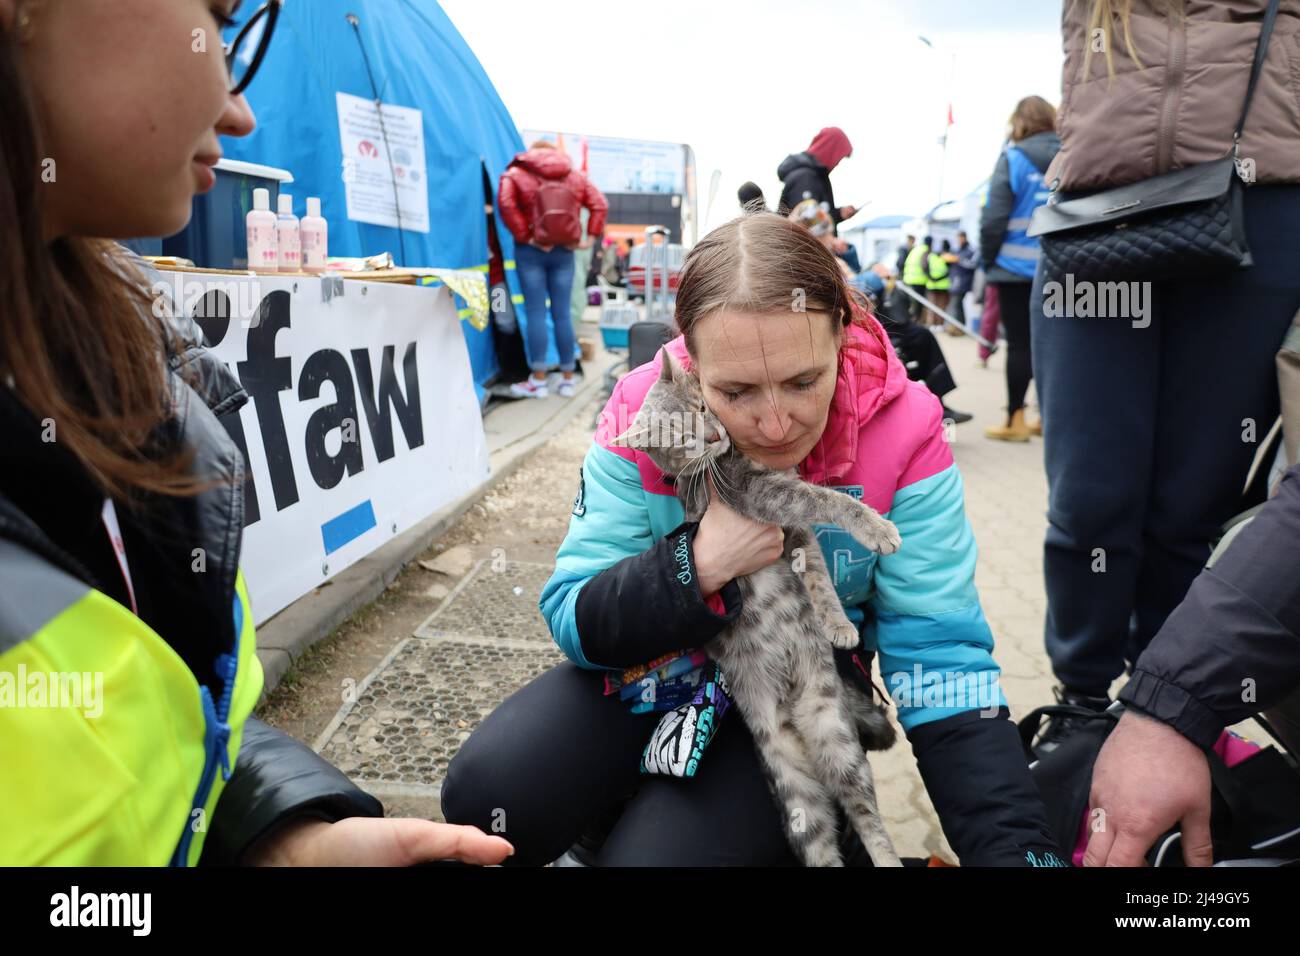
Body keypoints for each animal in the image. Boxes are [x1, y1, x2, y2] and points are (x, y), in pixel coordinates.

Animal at [611, 348, 904, 868]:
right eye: (681, 440)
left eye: (702, 409)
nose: (713, 436)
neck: (723, 460)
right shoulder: (765, 496)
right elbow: (823, 498)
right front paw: (875, 528)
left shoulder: (792, 531)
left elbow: (819, 578)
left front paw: (838, 624)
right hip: (796, 791)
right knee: (827, 844)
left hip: (835, 736)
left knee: (866, 817)